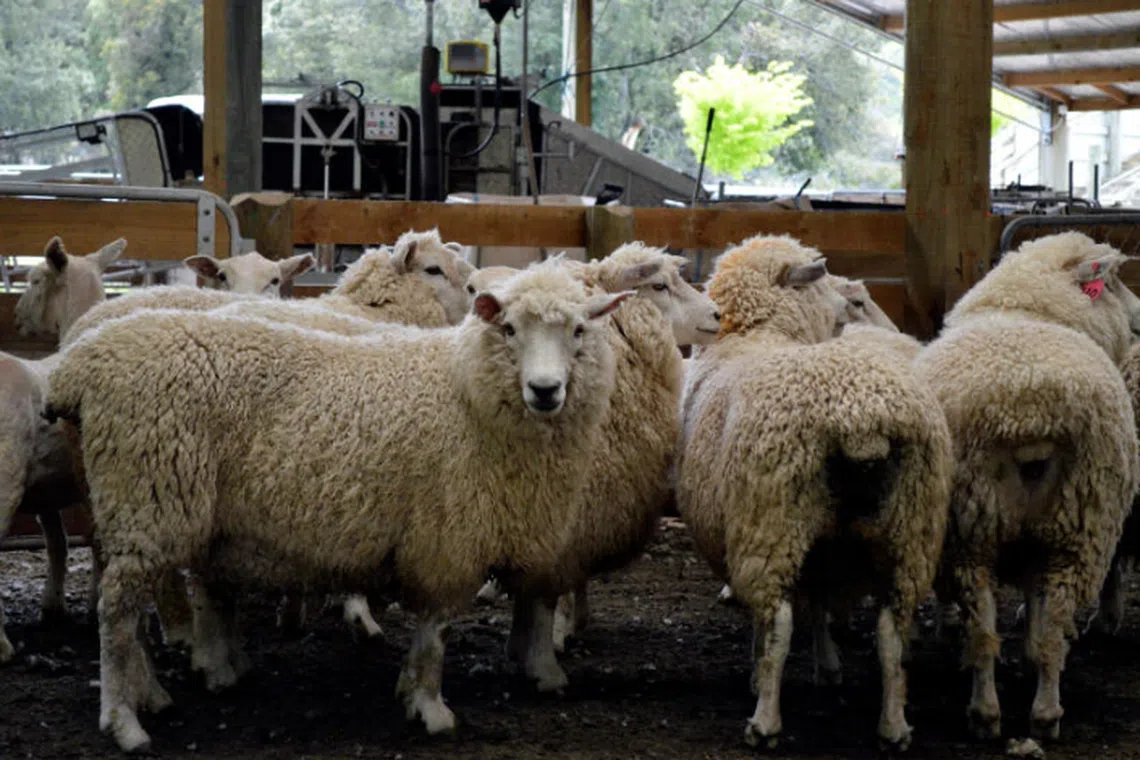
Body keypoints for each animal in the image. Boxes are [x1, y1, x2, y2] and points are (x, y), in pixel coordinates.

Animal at [1, 236, 126, 661]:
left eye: (35, 280)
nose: (16, 316)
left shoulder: (52, 487)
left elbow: (64, 541)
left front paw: (60, 607)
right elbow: (71, 541)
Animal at [45, 259, 631, 752]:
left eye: (579, 331)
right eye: (509, 329)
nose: (545, 389)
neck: (466, 391)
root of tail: (84, 361)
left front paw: (409, 692)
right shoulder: (447, 537)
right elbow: (436, 633)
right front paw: (430, 707)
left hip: (137, 509)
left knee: (131, 609)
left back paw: (155, 693)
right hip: (149, 501)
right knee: (116, 613)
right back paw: (124, 720)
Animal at [501, 243, 721, 689]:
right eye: (659, 286)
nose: (717, 314)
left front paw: (522, 649)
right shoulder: (561, 511)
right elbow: (545, 593)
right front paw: (545, 663)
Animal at [676, 234, 953, 750]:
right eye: (826, 284)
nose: (845, 307)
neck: (760, 334)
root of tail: (860, 418)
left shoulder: (752, 530)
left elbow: (775, 619)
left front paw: (758, 672)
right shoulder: (826, 546)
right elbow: (822, 604)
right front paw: (828, 665)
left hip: (774, 524)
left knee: (780, 621)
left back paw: (764, 721)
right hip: (909, 529)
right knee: (892, 630)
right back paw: (894, 725)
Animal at [913, 231, 1140, 741]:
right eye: (1114, 282)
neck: (1024, 307)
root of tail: (1029, 412)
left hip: (985, 532)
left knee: (988, 629)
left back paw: (997, 713)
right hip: (1073, 525)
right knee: (1045, 624)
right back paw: (1035, 713)